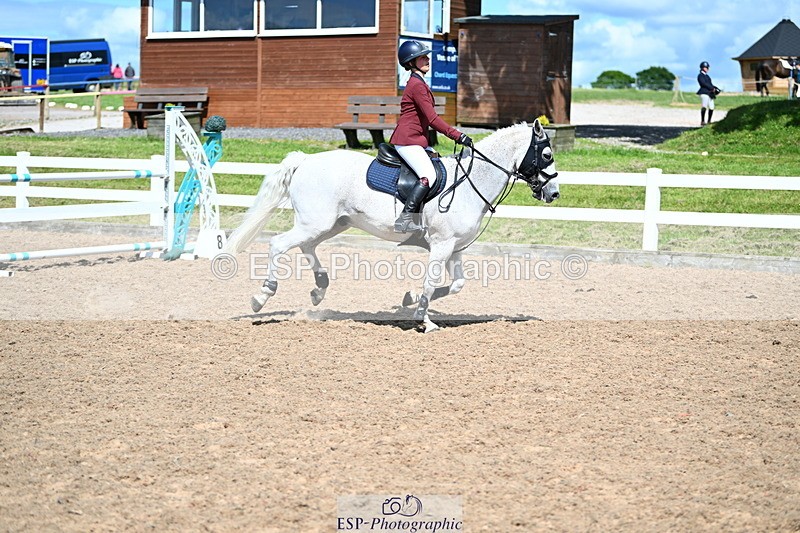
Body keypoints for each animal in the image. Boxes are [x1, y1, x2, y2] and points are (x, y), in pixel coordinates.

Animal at [223, 120, 560, 332]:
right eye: (546, 154)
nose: (554, 194)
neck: (470, 181)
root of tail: (305, 160)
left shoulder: (455, 248)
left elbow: (456, 284)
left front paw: (410, 300)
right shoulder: (441, 245)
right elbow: (432, 281)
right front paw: (424, 319)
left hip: (331, 223)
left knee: (307, 246)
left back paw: (319, 289)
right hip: (315, 222)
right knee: (278, 244)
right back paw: (262, 296)